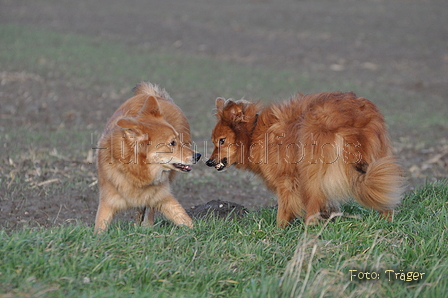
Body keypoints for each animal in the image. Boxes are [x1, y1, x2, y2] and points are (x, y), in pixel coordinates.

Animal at [95, 81, 201, 233]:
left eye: (178, 140)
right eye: (172, 143)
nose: (198, 155)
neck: (136, 172)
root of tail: (158, 97)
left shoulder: (163, 197)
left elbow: (185, 219)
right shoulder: (107, 203)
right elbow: (98, 231)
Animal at [206, 92, 406, 227]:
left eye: (222, 141)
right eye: (214, 142)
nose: (208, 162)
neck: (254, 134)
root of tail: (352, 119)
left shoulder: (286, 181)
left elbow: (284, 208)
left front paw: (279, 229)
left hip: (311, 169)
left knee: (313, 202)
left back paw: (309, 228)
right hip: (377, 159)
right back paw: (386, 220)